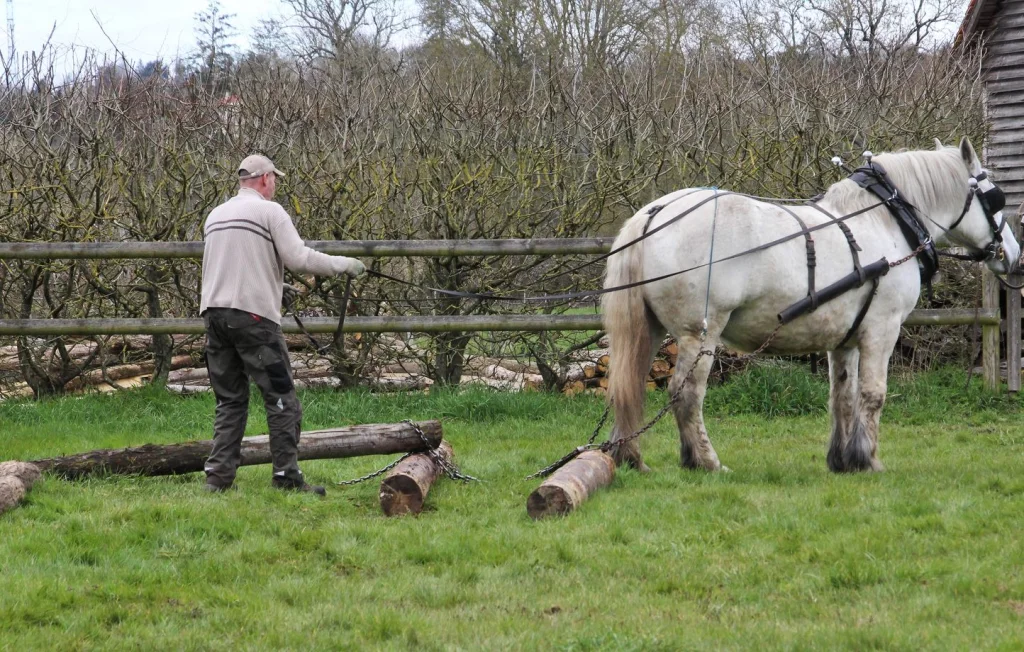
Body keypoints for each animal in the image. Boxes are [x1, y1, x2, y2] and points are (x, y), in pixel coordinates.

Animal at [602, 138, 1020, 473]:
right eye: (995, 197)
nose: (1013, 253)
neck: (885, 221)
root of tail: (653, 213)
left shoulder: (846, 340)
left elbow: (843, 397)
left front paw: (843, 461)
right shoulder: (882, 330)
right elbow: (873, 394)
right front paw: (869, 460)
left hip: (651, 330)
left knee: (629, 385)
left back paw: (631, 459)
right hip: (700, 332)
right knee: (685, 393)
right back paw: (705, 462)